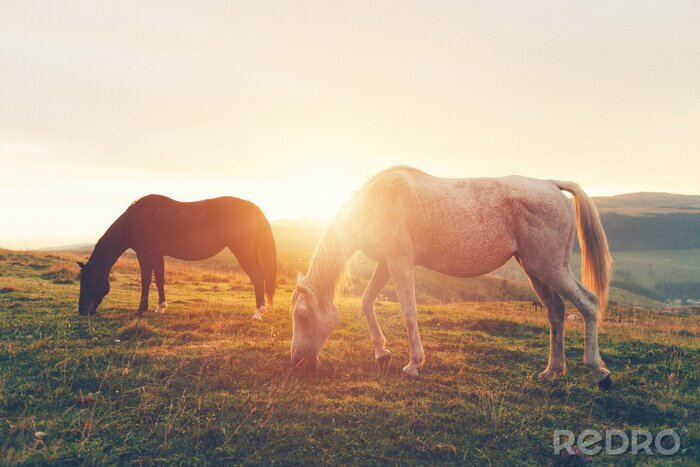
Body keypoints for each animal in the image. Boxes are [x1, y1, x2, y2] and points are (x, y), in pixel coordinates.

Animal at [77, 195, 277, 319]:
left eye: (86, 281)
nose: (82, 311)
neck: (133, 220)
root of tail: (254, 208)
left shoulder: (145, 253)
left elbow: (145, 280)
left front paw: (140, 310)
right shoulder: (157, 254)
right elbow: (159, 279)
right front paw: (160, 308)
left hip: (242, 251)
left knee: (257, 276)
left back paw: (258, 313)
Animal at [291, 166, 613, 389]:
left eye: (302, 316)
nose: (297, 363)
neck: (375, 203)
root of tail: (550, 185)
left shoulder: (400, 261)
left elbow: (408, 311)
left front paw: (413, 364)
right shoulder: (385, 263)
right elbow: (367, 302)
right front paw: (382, 353)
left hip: (549, 267)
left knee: (588, 303)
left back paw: (599, 371)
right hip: (534, 270)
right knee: (556, 312)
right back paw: (552, 370)